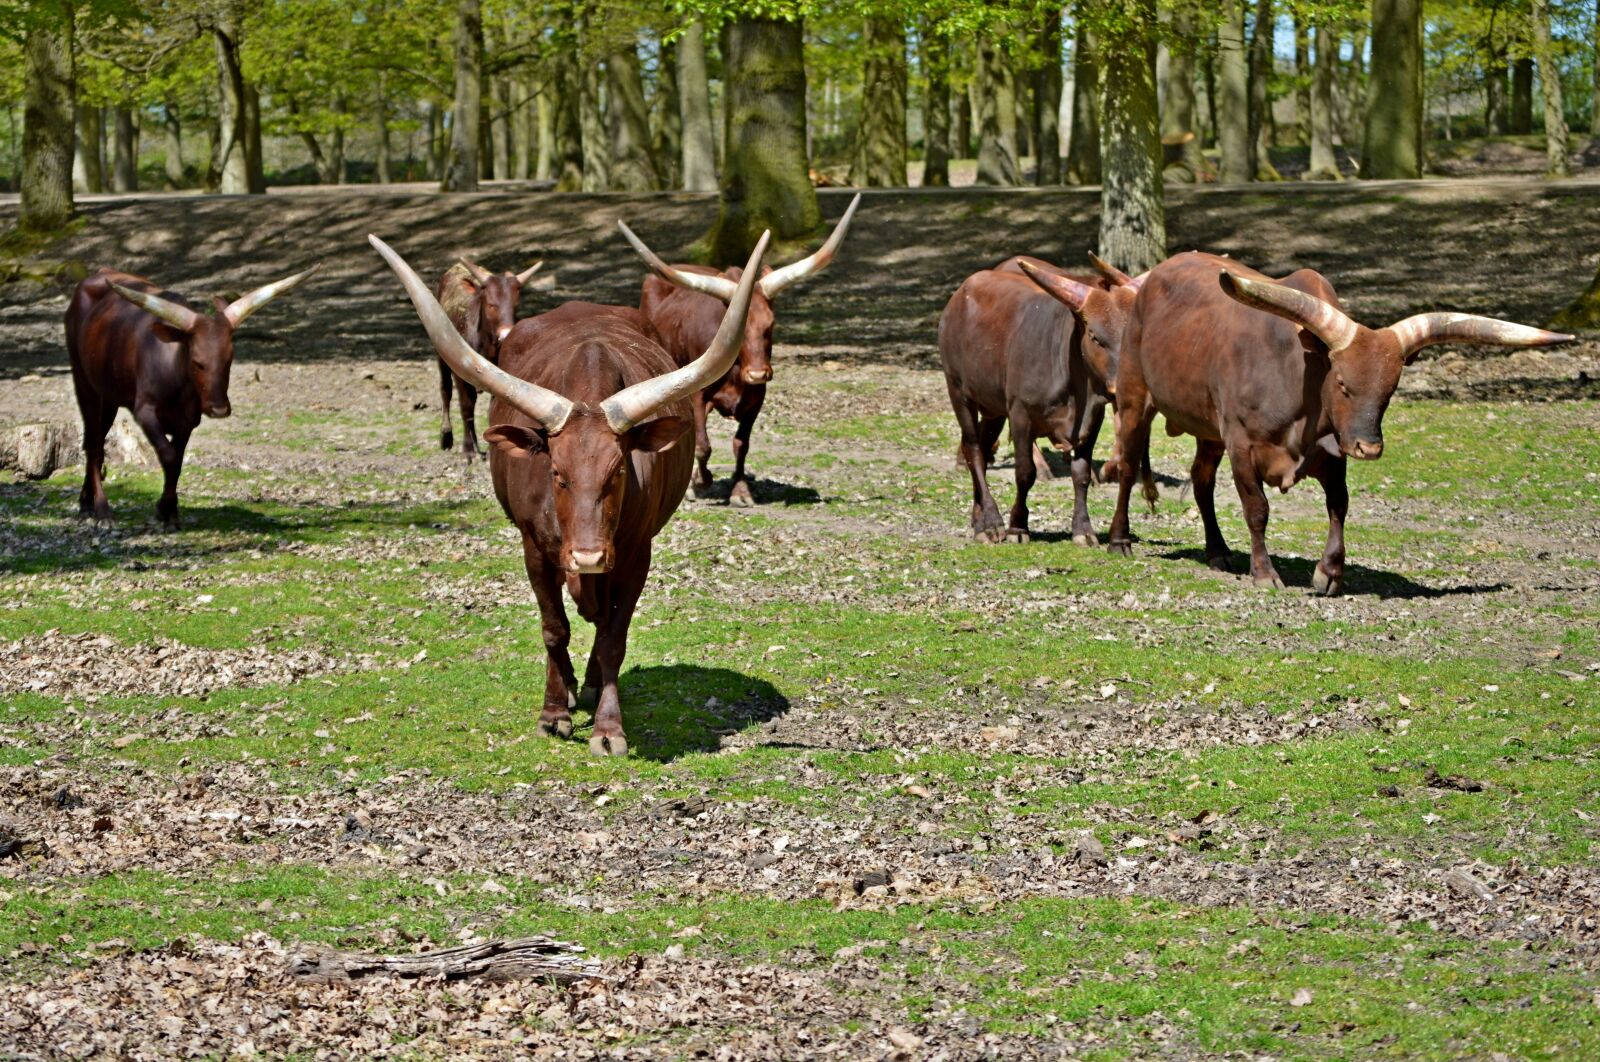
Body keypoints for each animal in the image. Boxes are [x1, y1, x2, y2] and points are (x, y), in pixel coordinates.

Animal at [65, 265, 317, 528]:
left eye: (229, 359)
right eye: (197, 362)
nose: (219, 409)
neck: (175, 374)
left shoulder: (187, 421)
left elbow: (177, 461)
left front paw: (168, 512)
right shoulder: (145, 412)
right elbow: (168, 456)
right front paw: (164, 512)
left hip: (109, 395)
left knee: (96, 440)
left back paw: (86, 502)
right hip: (84, 383)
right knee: (93, 444)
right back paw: (102, 509)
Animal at [434, 258, 543, 460]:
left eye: (515, 306)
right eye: (491, 305)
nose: (506, 334)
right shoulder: (460, 373)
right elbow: (466, 406)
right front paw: (468, 450)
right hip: (441, 354)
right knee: (445, 390)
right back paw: (446, 436)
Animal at [617, 193, 861, 507]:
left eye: (771, 324)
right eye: (739, 331)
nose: (758, 373)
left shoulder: (756, 399)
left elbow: (741, 444)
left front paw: (741, 491)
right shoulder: (697, 396)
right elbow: (703, 444)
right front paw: (700, 482)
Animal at [936, 255, 1139, 545]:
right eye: (1094, 335)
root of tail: (961, 293)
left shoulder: (1092, 421)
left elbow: (1081, 474)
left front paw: (1083, 529)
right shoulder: (1020, 414)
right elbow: (1025, 473)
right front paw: (1018, 526)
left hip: (993, 408)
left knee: (982, 450)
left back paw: (979, 520)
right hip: (959, 392)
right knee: (974, 450)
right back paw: (991, 522)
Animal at [1105, 251, 1573, 594]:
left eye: (1390, 389)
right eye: (1344, 383)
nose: (1370, 447)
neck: (1299, 377)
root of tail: (1153, 276)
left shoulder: (1332, 452)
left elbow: (1339, 505)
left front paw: (1328, 572)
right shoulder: (1242, 444)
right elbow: (1257, 509)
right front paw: (1265, 573)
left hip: (1207, 429)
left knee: (1201, 479)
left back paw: (1217, 552)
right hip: (1134, 396)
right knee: (1127, 467)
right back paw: (1118, 539)